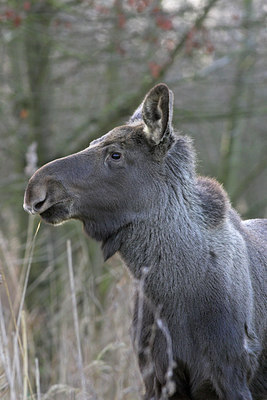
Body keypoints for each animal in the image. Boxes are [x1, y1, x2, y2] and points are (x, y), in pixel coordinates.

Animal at [24, 83, 266, 398]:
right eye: (92, 142)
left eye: (115, 155)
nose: (35, 187)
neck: (174, 293)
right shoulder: (156, 376)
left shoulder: (231, 373)